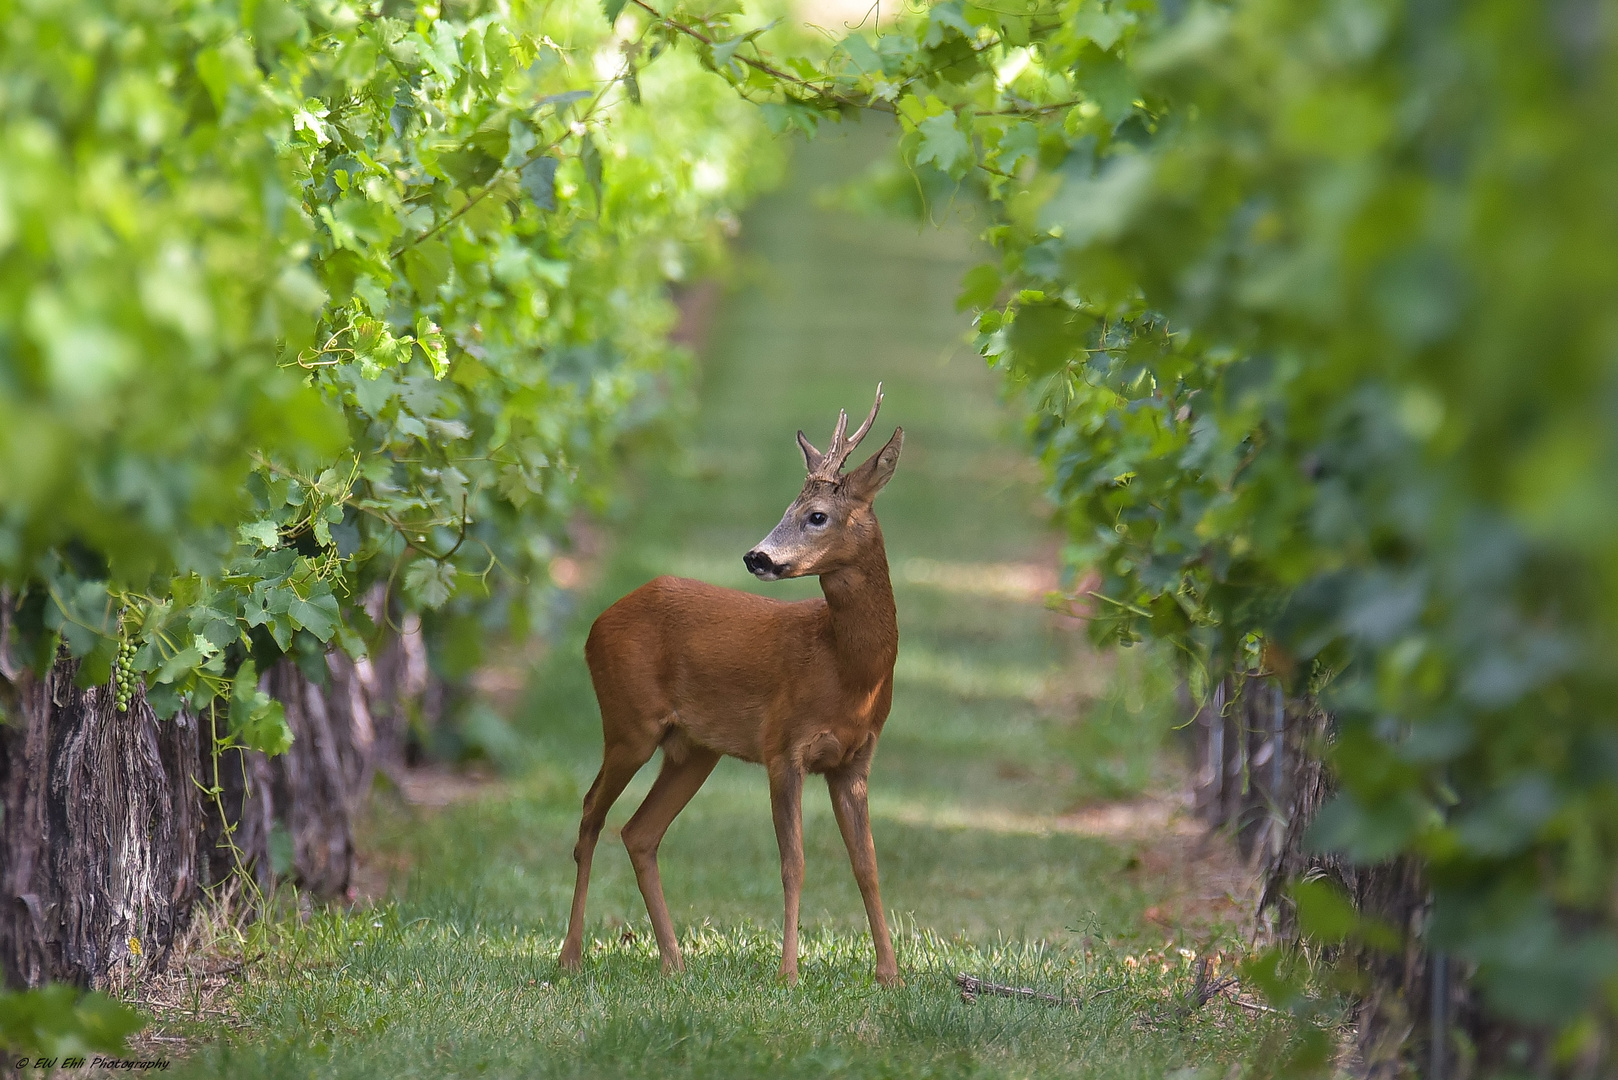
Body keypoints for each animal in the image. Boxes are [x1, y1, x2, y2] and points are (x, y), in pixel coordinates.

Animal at [559, 388, 906, 990]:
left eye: (816, 516)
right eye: (787, 510)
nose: (756, 556)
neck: (846, 668)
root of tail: (596, 624)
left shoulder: (855, 761)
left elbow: (867, 864)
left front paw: (890, 974)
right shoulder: (783, 748)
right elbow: (794, 863)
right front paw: (789, 974)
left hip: (694, 749)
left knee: (639, 832)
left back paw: (674, 962)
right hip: (628, 723)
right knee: (590, 816)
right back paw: (571, 957)